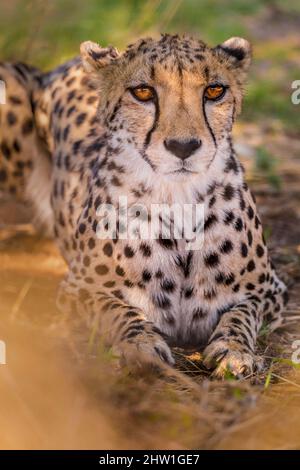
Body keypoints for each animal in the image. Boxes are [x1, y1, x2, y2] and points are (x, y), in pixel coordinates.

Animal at [1, 34, 290, 378]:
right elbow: (119, 309)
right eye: (143, 92)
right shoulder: (78, 288)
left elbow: (241, 312)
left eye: (214, 90)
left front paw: (233, 350)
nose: (184, 146)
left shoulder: (270, 289)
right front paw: (141, 345)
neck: (179, 200)